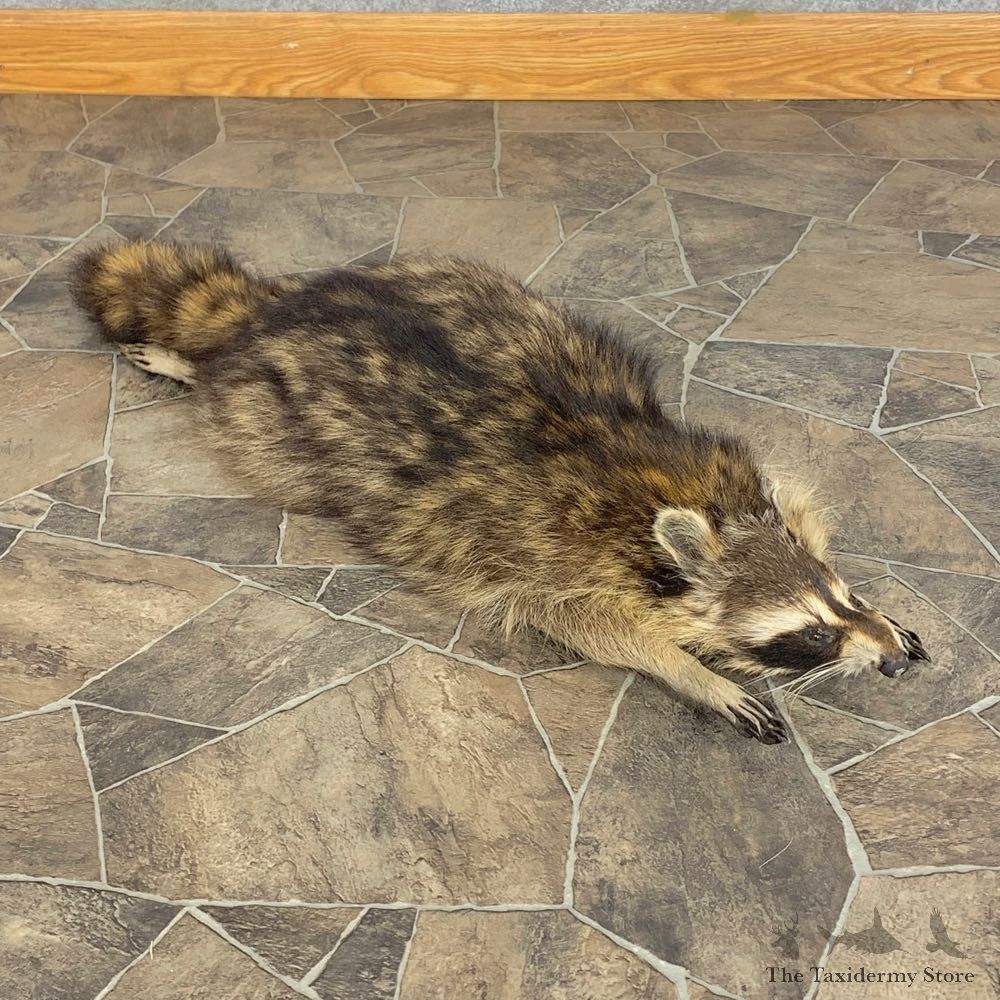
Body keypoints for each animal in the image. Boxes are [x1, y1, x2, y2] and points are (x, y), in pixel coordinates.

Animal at [73, 241, 929, 744]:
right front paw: (692, 671)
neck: (693, 509)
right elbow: (588, 627)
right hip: (270, 422)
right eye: (809, 636)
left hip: (443, 274)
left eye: (843, 597)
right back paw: (192, 366)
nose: (888, 660)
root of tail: (280, 308)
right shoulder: (553, 557)